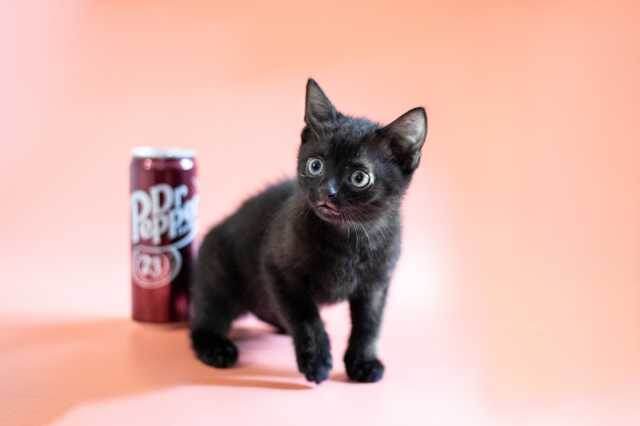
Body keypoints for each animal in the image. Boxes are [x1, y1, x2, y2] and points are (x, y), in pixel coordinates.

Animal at [190, 78, 427, 384]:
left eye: (359, 177)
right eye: (315, 165)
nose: (328, 191)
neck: (348, 241)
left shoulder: (376, 283)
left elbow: (369, 324)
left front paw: (363, 362)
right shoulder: (278, 269)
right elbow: (306, 317)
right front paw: (317, 360)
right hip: (219, 273)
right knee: (206, 316)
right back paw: (216, 347)